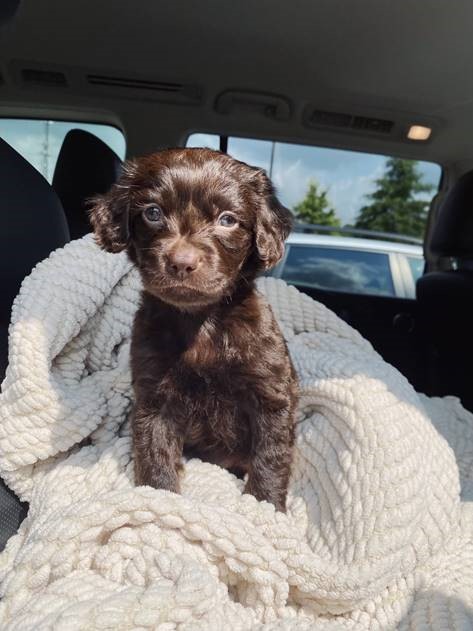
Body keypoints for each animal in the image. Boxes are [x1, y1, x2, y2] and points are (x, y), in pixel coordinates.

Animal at [90, 149, 296, 512]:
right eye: (153, 213)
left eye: (227, 220)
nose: (182, 262)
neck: (201, 322)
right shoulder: (154, 395)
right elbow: (154, 452)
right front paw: (159, 501)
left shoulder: (270, 395)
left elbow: (271, 455)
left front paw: (265, 508)